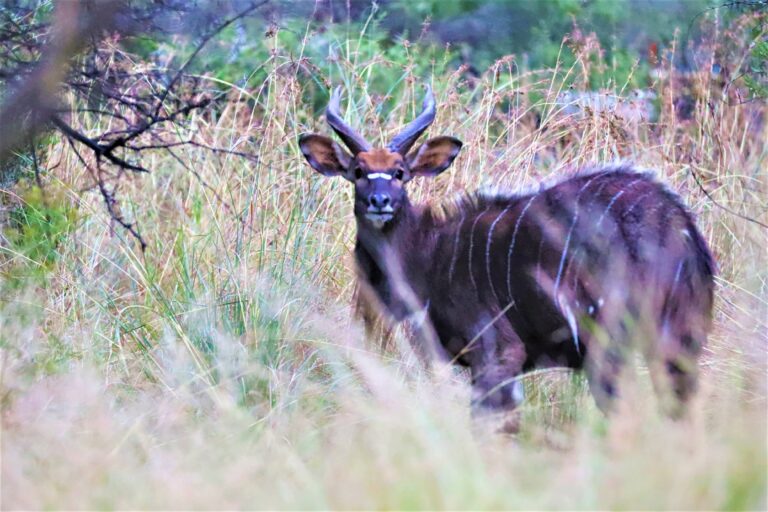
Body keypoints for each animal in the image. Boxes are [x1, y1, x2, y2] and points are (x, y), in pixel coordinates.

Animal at [298, 86, 712, 414]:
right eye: (357, 171)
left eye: (400, 172)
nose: (380, 201)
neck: (428, 255)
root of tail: (676, 223)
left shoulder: (496, 351)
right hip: (679, 340)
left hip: (609, 340)